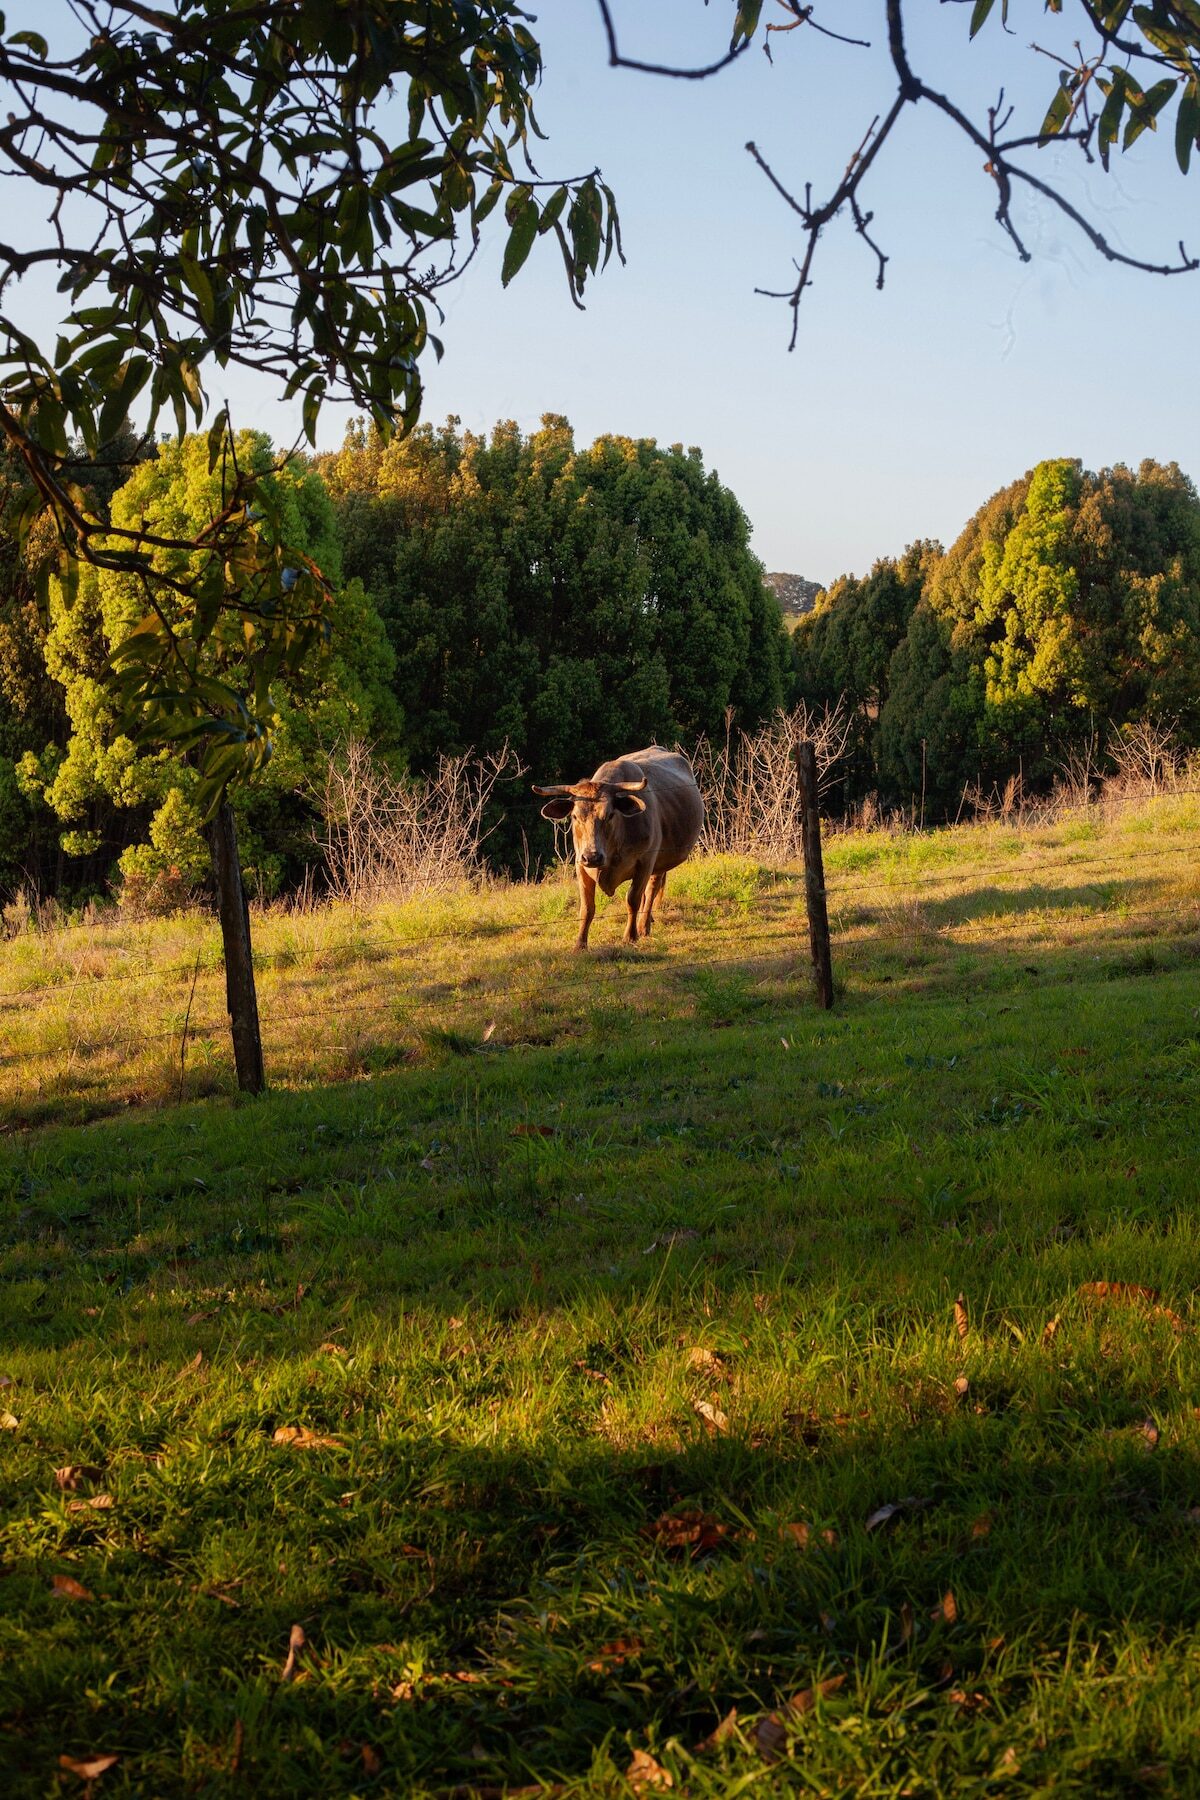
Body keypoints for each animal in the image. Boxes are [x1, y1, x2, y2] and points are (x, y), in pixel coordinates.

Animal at [533, 746, 704, 950]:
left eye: (610, 815)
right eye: (575, 816)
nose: (593, 856)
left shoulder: (645, 862)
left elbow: (633, 899)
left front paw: (630, 936)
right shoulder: (580, 864)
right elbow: (587, 907)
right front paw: (580, 943)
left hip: (657, 862)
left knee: (651, 890)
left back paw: (643, 926)